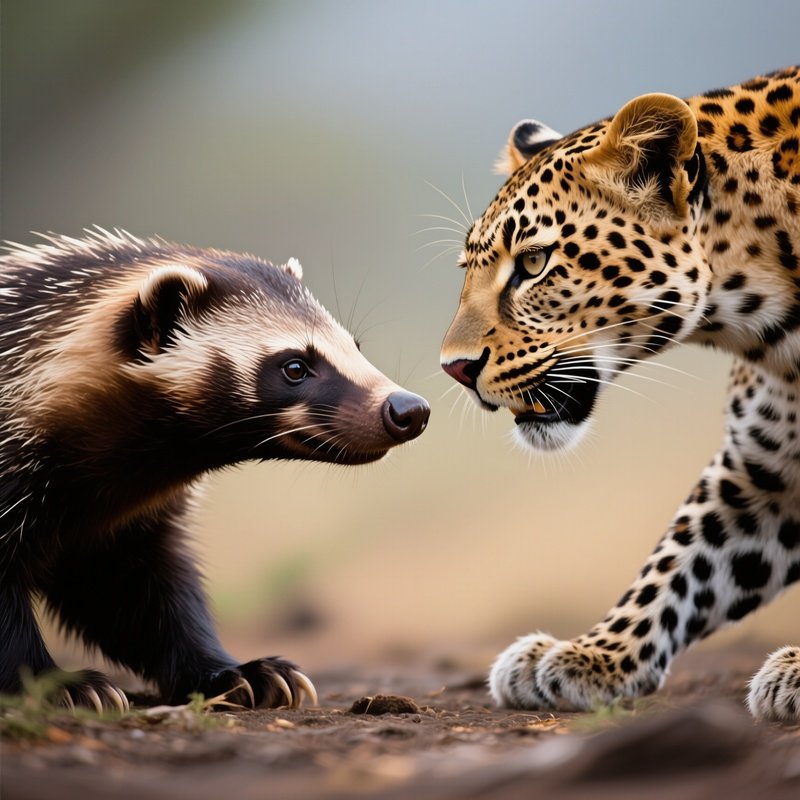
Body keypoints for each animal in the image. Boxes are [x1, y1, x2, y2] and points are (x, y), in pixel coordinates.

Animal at [440, 66, 800, 721]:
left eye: (534, 262)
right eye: (467, 271)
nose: (453, 367)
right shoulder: (763, 470)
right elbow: (683, 554)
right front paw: (593, 655)